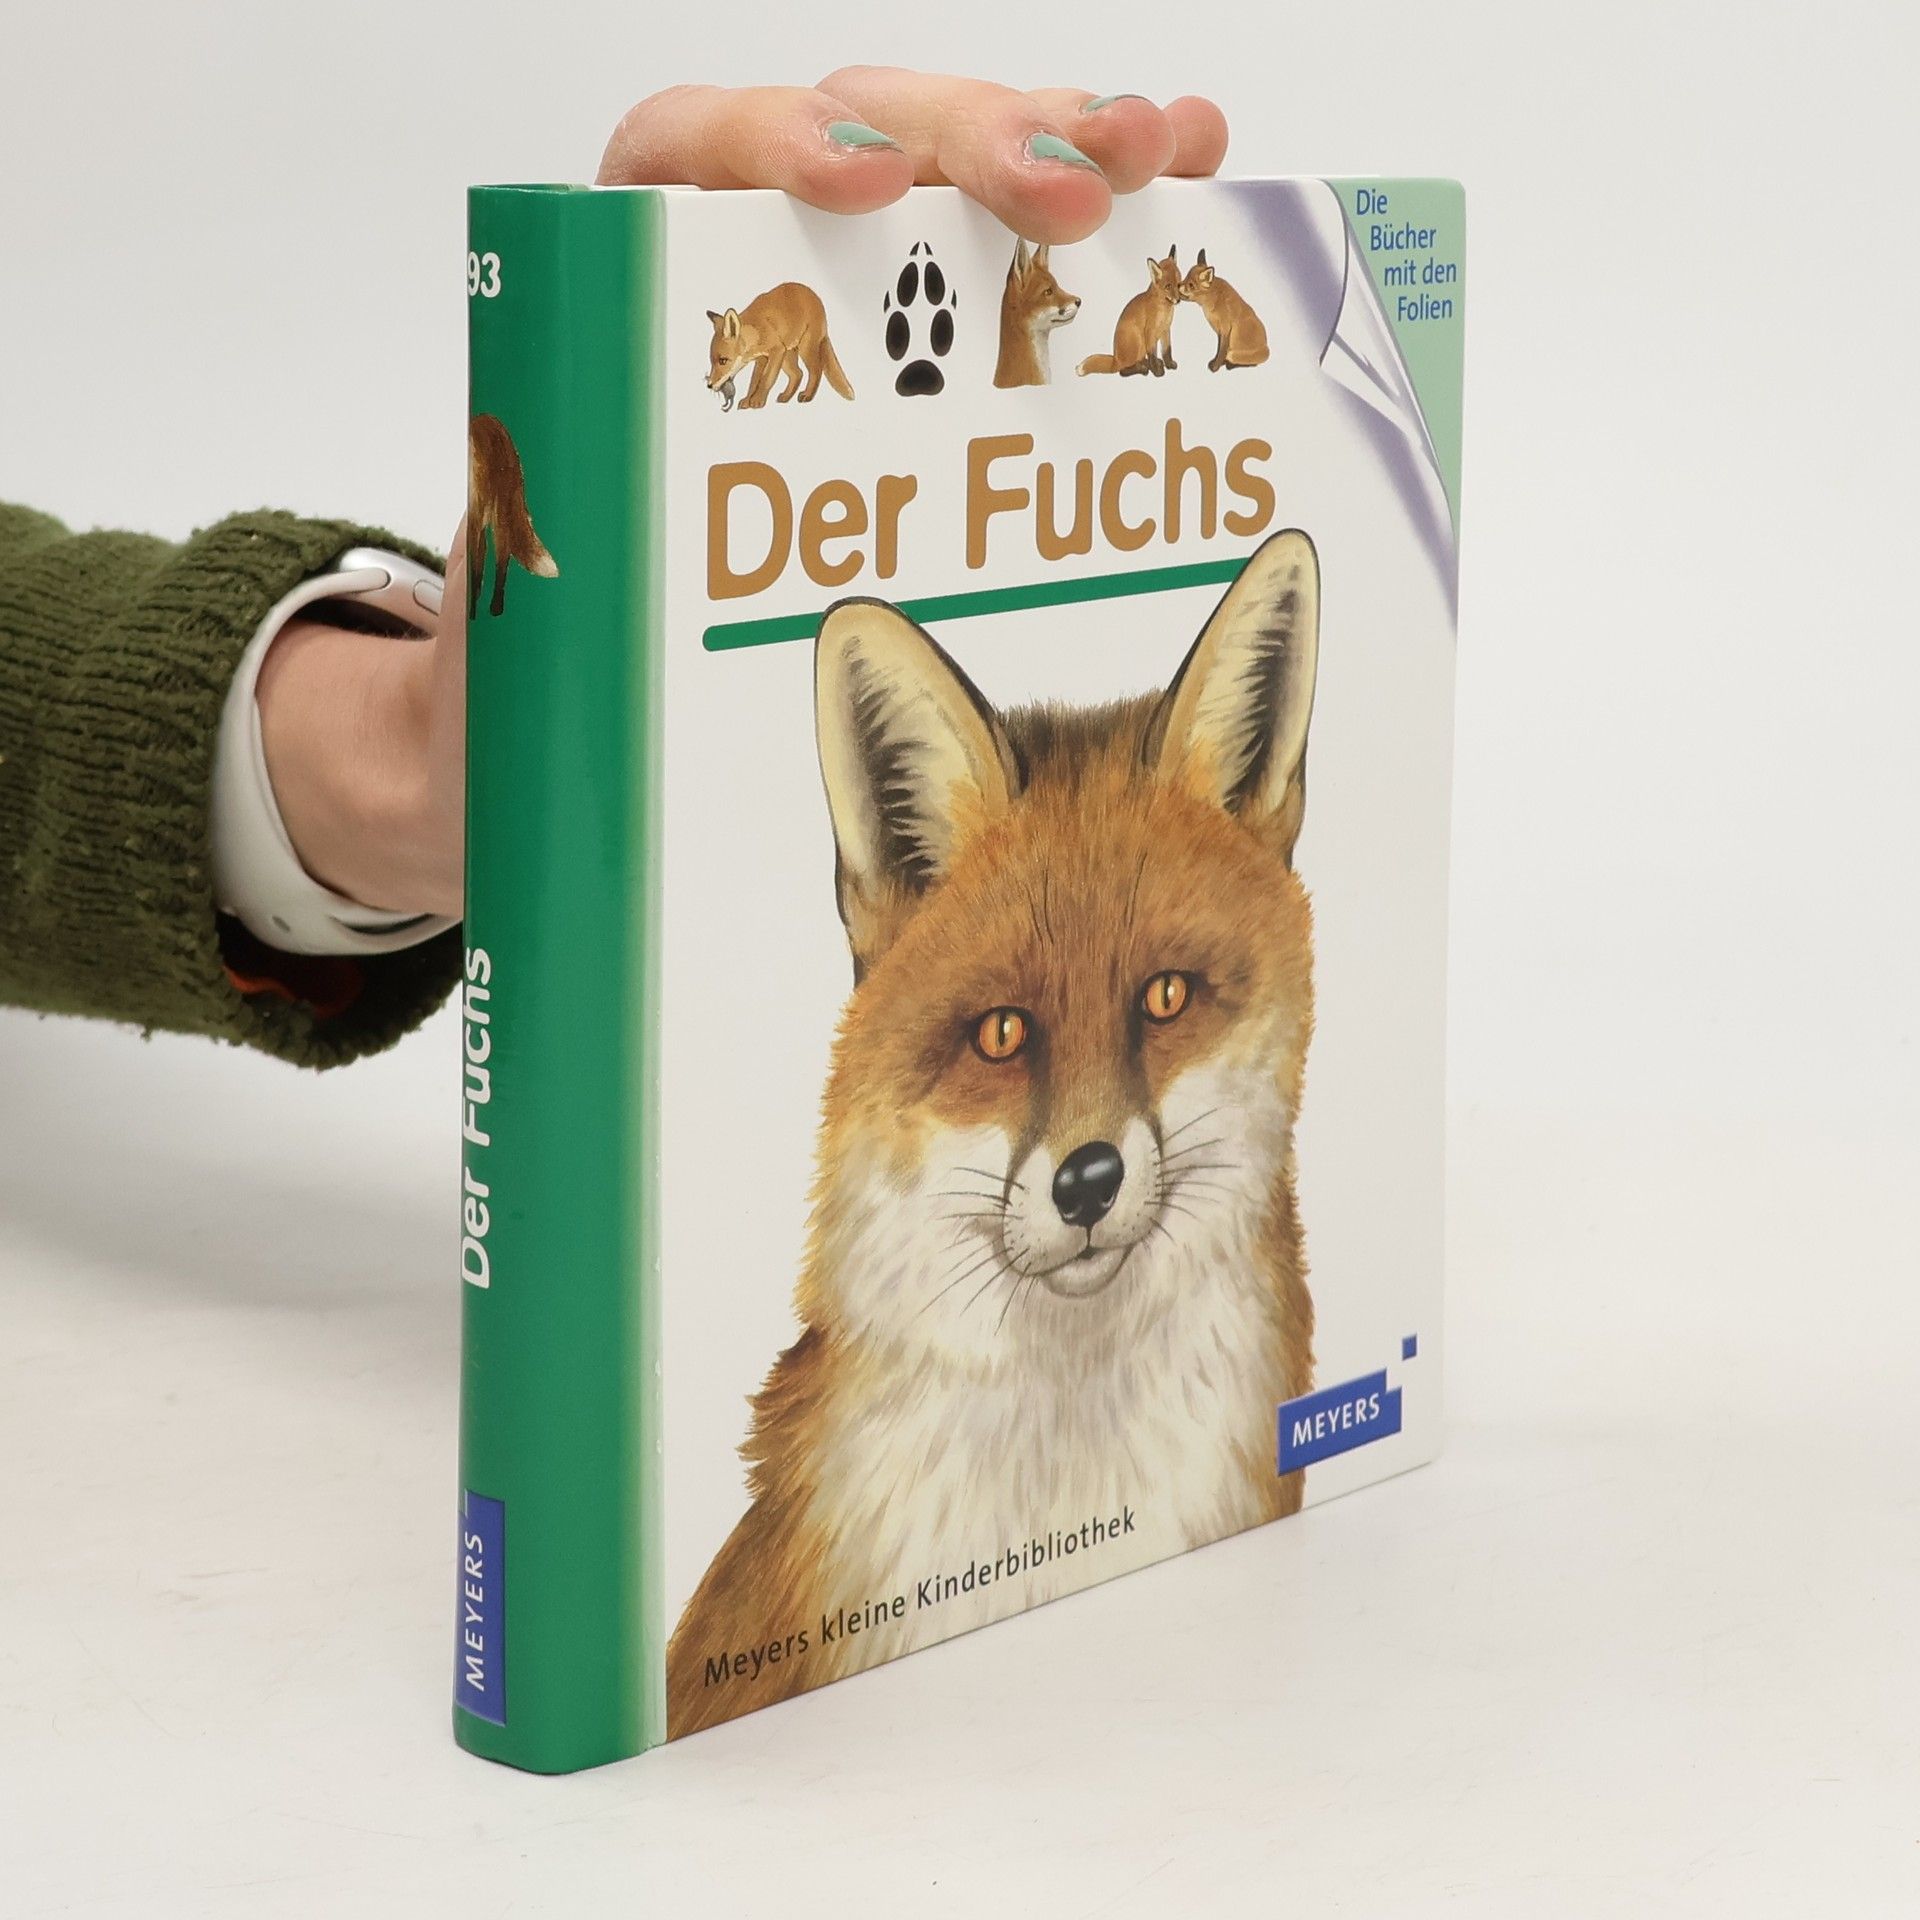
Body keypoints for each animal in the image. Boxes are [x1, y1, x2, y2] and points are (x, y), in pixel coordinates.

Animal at [466, 413, 558, 619]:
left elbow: (474, 570)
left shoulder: (475, 520)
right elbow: (475, 570)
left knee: (502, 558)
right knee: (485, 555)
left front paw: (473, 613)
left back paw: (496, 608)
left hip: (500, 518)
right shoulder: (473, 523)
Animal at [706, 283, 854, 411]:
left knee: (816, 370)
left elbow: (765, 379)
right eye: (711, 361)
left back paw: (808, 395)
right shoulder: (762, 358)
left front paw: (757, 401)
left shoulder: (776, 350)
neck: (757, 331)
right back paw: (786, 396)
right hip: (787, 356)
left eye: (723, 361)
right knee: (798, 373)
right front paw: (748, 399)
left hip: (804, 349)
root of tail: (815, 297)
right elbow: (754, 381)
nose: (709, 385)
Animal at [1077, 246, 1183, 377]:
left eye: (1179, 283)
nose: (1178, 300)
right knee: (1123, 370)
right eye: (1168, 286)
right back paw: (1143, 369)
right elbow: (1152, 354)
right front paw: (1157, 372)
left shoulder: (1166, 330)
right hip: (1138, 338)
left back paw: (1150, 364)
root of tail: (1116, 359)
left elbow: (1167, 351)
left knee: (1138, 361)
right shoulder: (1150, 331)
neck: (1164, 309)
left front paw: (1169, 364)